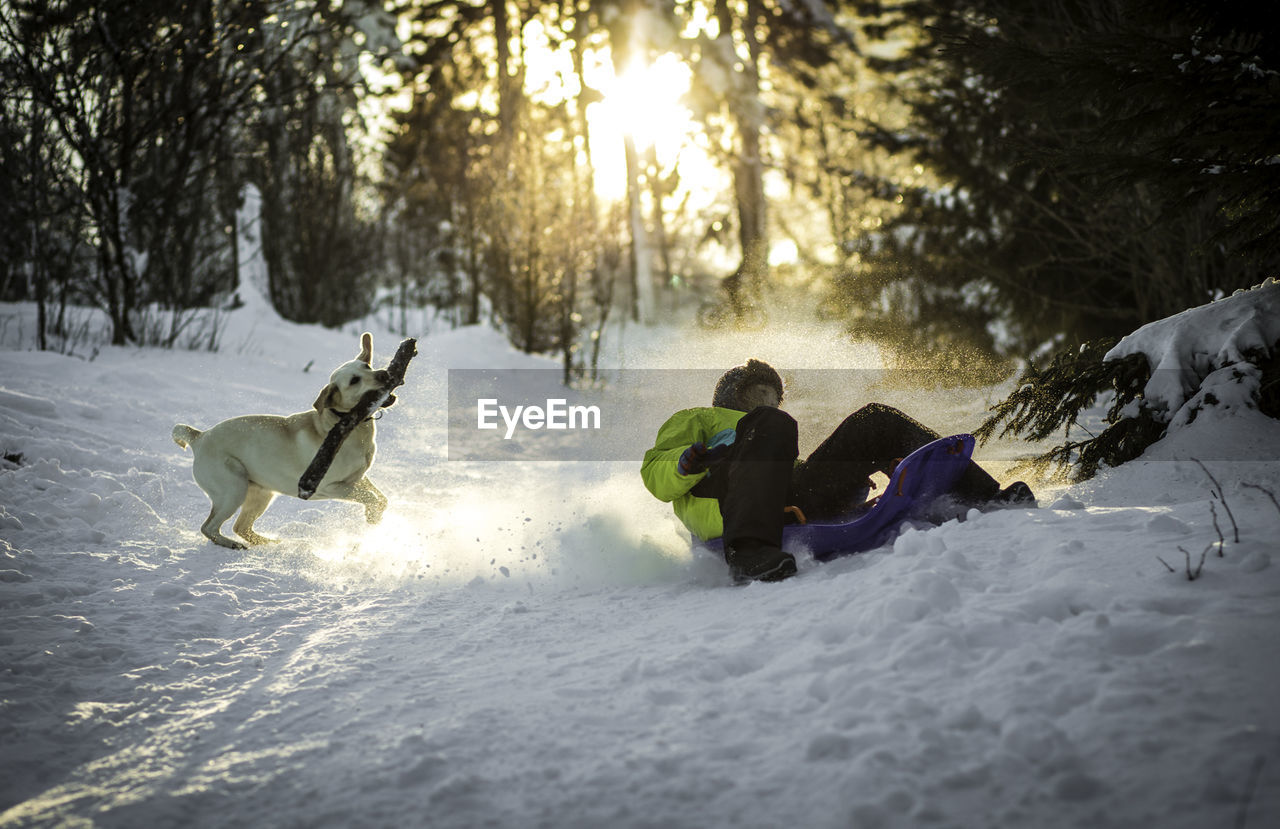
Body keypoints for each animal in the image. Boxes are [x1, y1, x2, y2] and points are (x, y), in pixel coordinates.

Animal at [172, 330, 389, 550]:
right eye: (354, 380)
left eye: (367, 367)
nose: (383, 374)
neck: (346, 424)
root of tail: (200, 436)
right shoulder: (331, 487)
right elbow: (369, 497)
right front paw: (372, 515)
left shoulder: (358, 477)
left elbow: (381, 497)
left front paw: (376, 514)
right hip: (233, 489)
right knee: (209, 527)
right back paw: (232, 544)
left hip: (261, 493)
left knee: (241, 527)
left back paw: (269, 542)